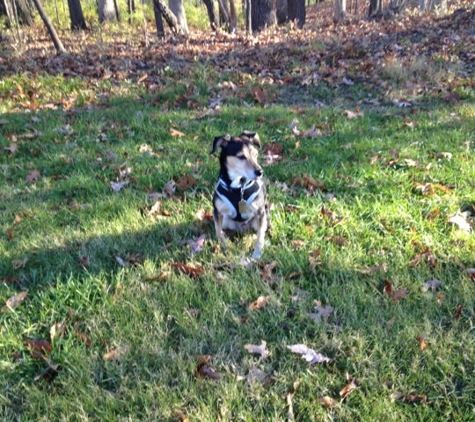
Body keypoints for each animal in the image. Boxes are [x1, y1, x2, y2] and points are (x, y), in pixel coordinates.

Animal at [210, 130, 270, 258]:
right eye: (241, 156)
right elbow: (218, 231)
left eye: (255, 154)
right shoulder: (217, 212)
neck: (238, 187)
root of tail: (241, 228)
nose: (260, 172)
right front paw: (227, 247)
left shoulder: (260, 213)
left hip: (262, 217)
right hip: (226, 221)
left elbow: (260, 236)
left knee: (259, 231)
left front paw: (257, 254)